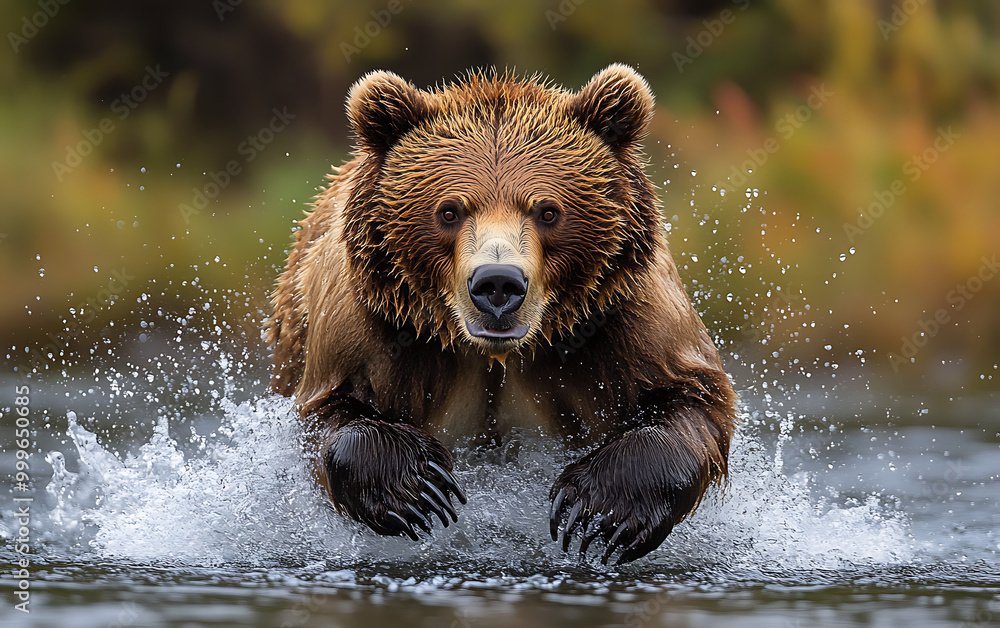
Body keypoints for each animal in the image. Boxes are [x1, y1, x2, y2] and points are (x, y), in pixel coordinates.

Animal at [267, 64, 737, 565]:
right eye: (449, 211)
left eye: (548, 211)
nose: (497, 284)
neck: (494, 352)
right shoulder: (374, 319)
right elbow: (328, 412)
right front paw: (421, 488)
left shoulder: (620, 311)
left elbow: (692, 395)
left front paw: (595, 509)